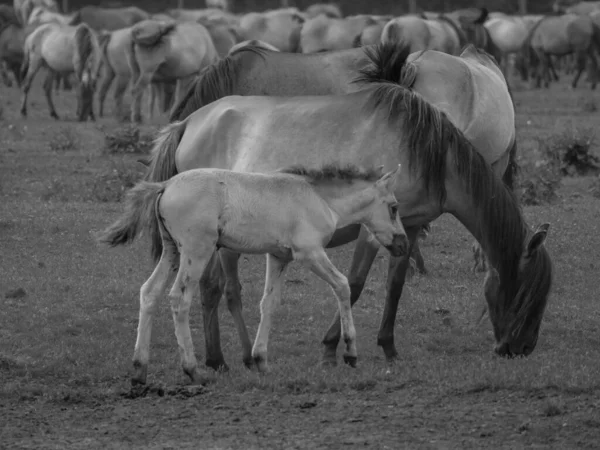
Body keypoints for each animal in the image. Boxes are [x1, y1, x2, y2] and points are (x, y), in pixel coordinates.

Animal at [99, 163, 408, 382]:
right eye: (394, 208)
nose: (403, 244)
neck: (319, 198)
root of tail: (166, 184)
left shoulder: (279, 256)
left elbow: (269, 303)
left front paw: (261, 361)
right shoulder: (309, 253)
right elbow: (343, 285)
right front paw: (351, 352)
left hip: (172, 251)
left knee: (149, 293)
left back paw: (140, 370)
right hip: (197, 251)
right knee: (179, 298)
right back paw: (193, 370)